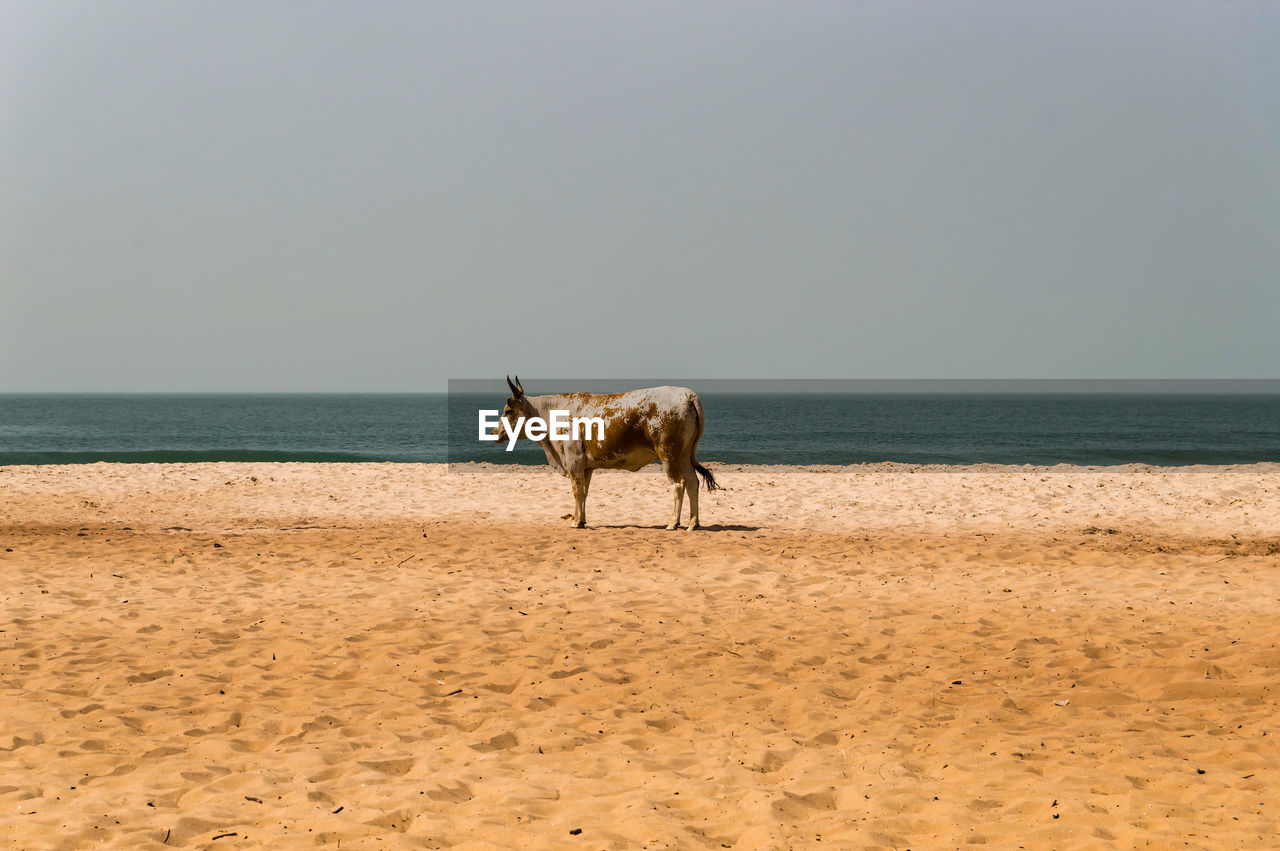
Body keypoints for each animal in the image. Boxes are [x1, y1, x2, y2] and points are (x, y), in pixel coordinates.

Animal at [494, 376, 721, 527]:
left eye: (508, 411)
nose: (494, 431)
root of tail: (686, 393)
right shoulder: (586, 467)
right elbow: (584, 493)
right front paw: (582, 520)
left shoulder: (574, 462)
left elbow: (576, 491)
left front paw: (575, 522)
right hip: (684, 455)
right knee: (692, 482)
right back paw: (693, 523)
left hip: (668, 453)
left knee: (678, 484)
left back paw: (673, 523)